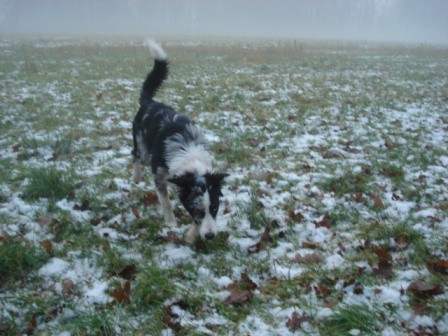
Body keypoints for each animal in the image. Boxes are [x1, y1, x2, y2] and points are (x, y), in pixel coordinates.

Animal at [130, 40, 228, 244]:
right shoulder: (159, 174)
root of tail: (149, 102)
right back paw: (136, 177)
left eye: (214, 208)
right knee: (135, 156)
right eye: (196, 210)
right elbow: (165, 201)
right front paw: (171, 222)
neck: (189, 154)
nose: (210, 236)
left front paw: (191, 236)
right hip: (143, 151)